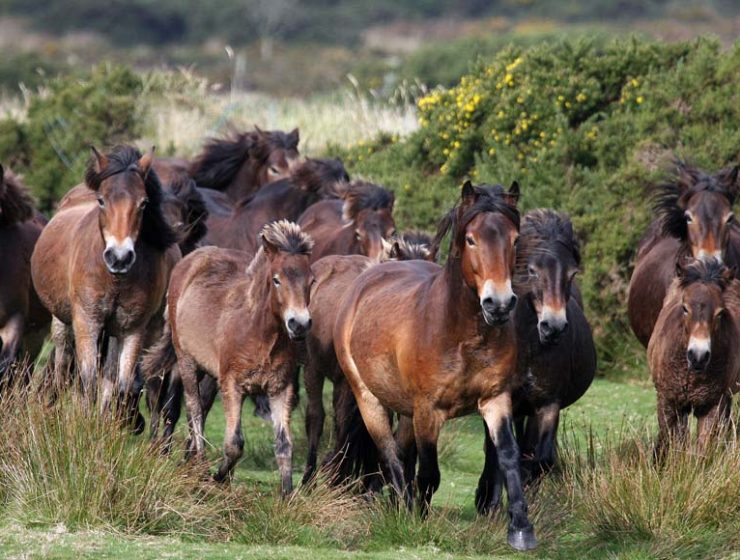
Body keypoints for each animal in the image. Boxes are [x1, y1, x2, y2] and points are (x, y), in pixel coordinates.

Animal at [31, 146, 180, 412]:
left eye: (144, 203)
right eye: (101, 200)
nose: (119, 257)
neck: (114, 280)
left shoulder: (132, 330)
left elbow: (120, 385)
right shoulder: (86, 322)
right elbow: (87, 383)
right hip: (63, 322)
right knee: (63, 366)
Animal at [142, 221, 313, 493]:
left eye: (312, 281)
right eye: (277, 280)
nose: (299, 324)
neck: (260, 334)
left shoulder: (280, 388)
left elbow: (284, 444)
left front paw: (287, 494)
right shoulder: (233, 385)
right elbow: (234, 443)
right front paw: (217, 477)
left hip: (210, 374)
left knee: (198, 408)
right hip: (186, 362)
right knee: (193, 409)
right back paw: (200, 464)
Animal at [333, 181, 537, 551]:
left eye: (515, 239)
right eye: (471, 239)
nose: (499, 304)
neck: (461, 334)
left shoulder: (496, 399)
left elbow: (508, 456)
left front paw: (521, 529)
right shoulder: (429, 410)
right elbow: (429, 473)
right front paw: (418, 523)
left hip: (406, 411)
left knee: (400, 452)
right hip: (369, 399)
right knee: (390, 454)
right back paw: (401, 509)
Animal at [474, 209, 596, 514]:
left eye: (571, 273)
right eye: (531, 270)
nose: (553, 327)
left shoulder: (548, 403)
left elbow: (539, 459)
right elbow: (496, 453)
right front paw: (489, 503)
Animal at [648, 259, 739, 457]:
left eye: (720, 313)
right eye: (684, 308)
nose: (698, 356)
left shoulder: (712, 405)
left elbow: (703, 449)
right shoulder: (668, 401)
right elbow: (670, 443)